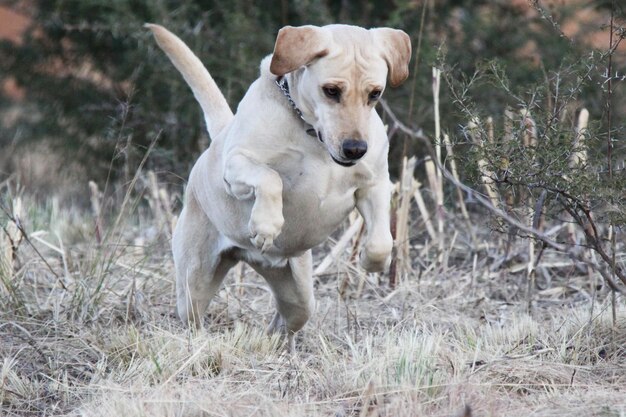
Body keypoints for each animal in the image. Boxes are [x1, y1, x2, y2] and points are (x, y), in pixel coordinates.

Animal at [146, 22, 410, 348]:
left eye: (375, 93)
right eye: (331, 91)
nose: (355, 149)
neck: (312, 135)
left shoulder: (375, 184)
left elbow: (381, 239)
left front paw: (372, 262)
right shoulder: (237, 164)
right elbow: (270, 178)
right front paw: (266, 225)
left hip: (299, 296)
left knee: (284, 320)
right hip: (194, 282)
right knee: (192, 315)